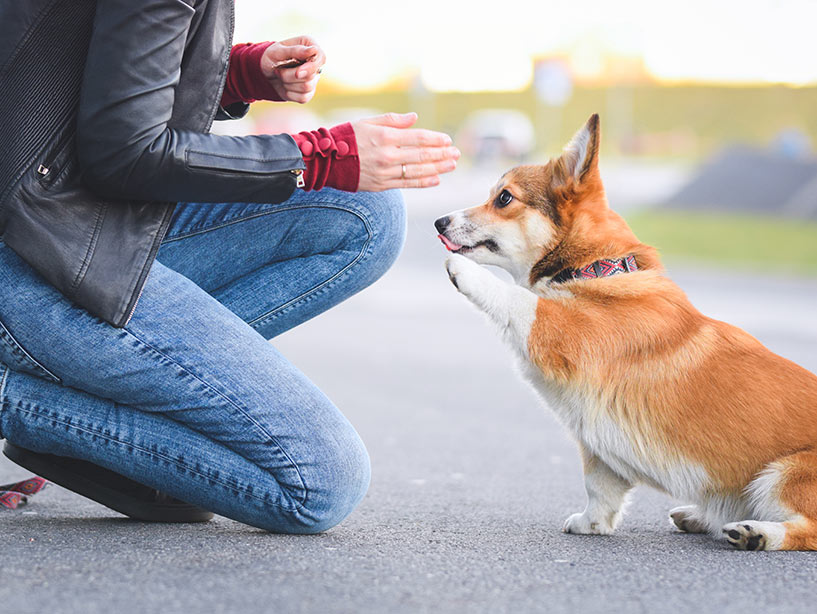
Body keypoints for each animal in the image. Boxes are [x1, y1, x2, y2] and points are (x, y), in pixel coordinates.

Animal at [436, 115, 816, 552]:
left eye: (503, 198)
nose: (439, 222)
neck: (594, 269)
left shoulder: (560, 331)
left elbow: (518, 299)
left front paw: (463, 272)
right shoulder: (596, 442)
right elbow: (600, 486)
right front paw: (593, 524)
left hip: (784, 474)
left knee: (807, 528)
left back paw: (755, 532)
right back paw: (700, 517)